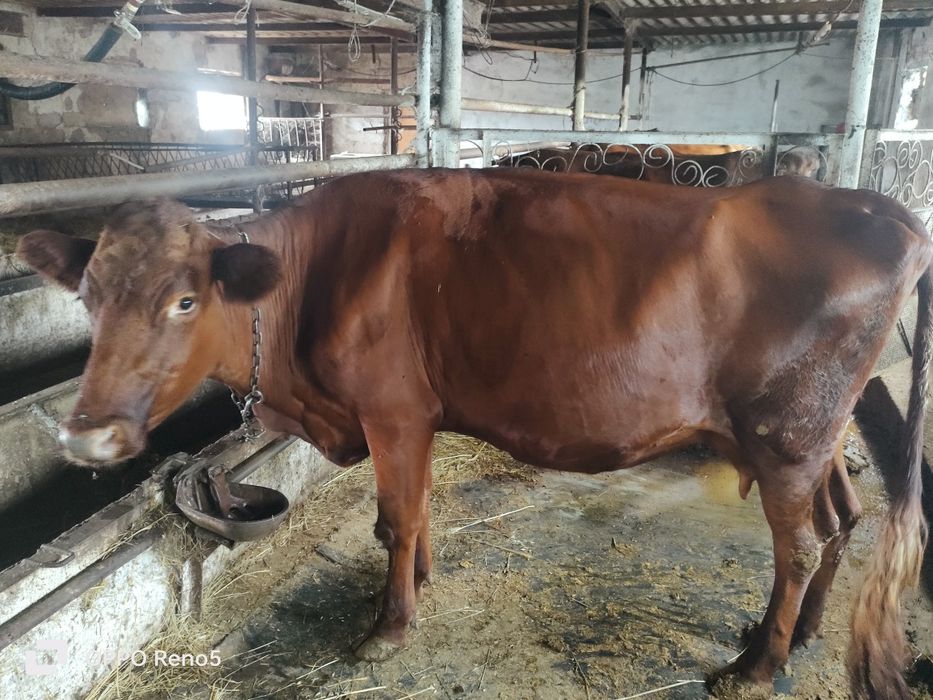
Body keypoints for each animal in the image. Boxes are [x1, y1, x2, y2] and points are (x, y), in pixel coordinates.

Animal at [17, 169, 930, 699]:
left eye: (183, 300)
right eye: (88, 296)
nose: (88, 437)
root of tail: (883, 210)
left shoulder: (389, 410)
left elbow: (394, 518)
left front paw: (387, 627)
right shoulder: (416, 417)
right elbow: (415, 511)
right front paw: (418, 583)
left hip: (786, 432)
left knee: (798, 544)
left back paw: (755, 668)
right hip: (813, 434)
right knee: (840, 519)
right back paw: (795, 633)